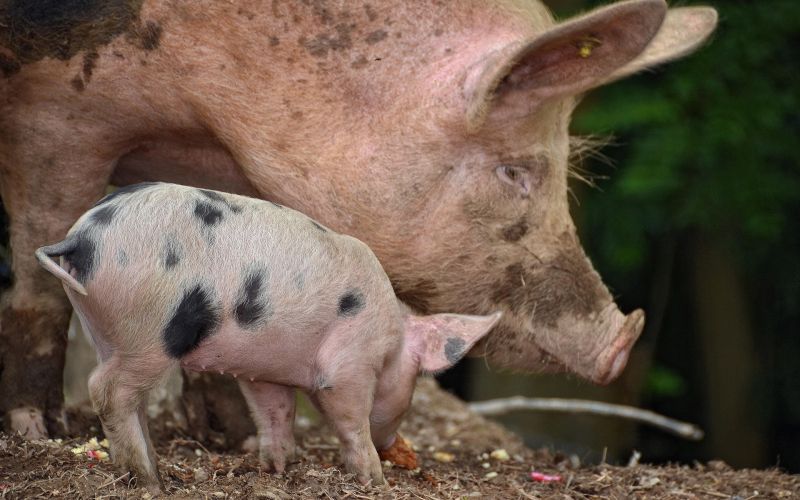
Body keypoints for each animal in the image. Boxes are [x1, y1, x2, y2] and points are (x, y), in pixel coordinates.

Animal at [0, 0, 718, 437]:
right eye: (515, 172)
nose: (622, 341)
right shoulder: (58, 116)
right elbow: (40, 279)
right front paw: (40, 432)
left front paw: (234, 440)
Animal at [35, 182, 501, 490]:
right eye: (417, 380)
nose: (394, 446)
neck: (392, 337)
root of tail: (82, 237)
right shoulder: (350, 363)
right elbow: (350, 418)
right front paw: (375, 479)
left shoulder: (264, 371)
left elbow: (275, 413)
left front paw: (278, 468)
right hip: (151, 329)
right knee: (106, 390)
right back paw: (151, 481)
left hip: (103, 327)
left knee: (128, 397)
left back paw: (151, 468)